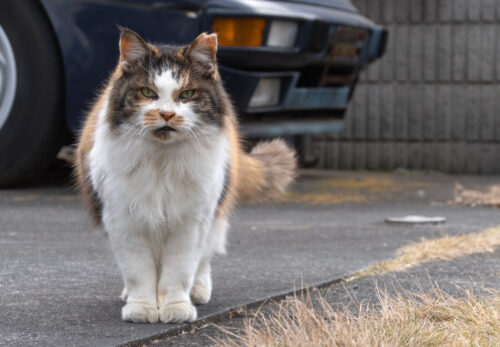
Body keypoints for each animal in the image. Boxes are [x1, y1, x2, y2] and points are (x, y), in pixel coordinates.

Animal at [74, 28, 296, 324]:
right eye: (148, 92)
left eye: (187, 93)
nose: (167, 114)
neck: (161, 160)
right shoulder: (124, 221)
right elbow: (138, 272)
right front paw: (142, 308)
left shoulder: (191, 223)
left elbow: (179, 271)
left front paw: (176, 307)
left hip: (214, 216)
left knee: (204, 259)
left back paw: (198, 291)